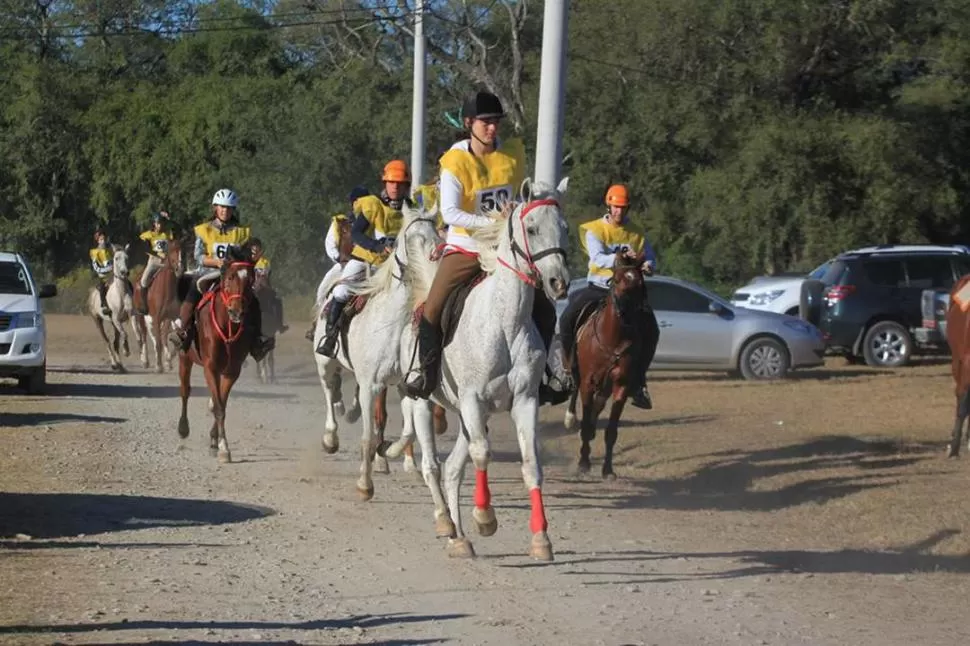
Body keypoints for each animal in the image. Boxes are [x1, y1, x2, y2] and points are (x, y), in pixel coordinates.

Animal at [86, 244, 142, 374]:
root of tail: (91, 294)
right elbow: (125, 334)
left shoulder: (130, 315)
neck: (121, 293)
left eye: (127, 257)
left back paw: (121, 366)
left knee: (115, 343)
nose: (124, 272)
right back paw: (114, 364)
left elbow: (137, 333)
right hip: (98, 321)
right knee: (107, 342)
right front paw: (126, 351)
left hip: (113, 323)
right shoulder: (116, 319)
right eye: (116, 258)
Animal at [176, 256, 255, 464]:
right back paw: (183, 428)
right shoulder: (210, 367)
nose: (237, 312)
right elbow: (219, 407)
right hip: (185, 357)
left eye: (251, 280)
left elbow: (221, 404)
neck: (227, 326)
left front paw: (217, 442)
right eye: (229, 277)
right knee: (185, 391)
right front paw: (224, 449)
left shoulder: (231, 370)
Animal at [310, 206, 450, 532]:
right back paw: (331, 437)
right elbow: (366, 436)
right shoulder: (372, 385)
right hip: (325, 363)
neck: (391, 323)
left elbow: (407, 433)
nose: (433, 271)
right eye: (411, 238)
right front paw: (365, 485)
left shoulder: (407, 386)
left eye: (437, 237)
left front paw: (389, 451)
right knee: (329, 391)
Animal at [398, 177, 572, 560]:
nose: (558, 283)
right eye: (532, 228)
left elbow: (531, 464)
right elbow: (482, 454)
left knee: (451, 470)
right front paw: (485, 517)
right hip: (424, 404)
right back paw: (447, 523)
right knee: (433, 466)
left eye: (565, 228)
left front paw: (541, 539)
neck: (505, 321)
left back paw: (460, 538)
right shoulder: (473, 399)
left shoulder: (524, 400)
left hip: (473, 416)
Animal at [560, 256, 652, 478]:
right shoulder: (588, 382)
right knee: (576, 391)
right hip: (579, 374)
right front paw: (583, 463)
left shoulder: (621, 386)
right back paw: (571, 419)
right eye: (616, 280)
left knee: (599, 405)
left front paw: (608, 469)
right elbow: (585, 419)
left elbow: (611, 431)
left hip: (606, 385)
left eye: (640, 283)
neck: (613, 340)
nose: (628, 313)